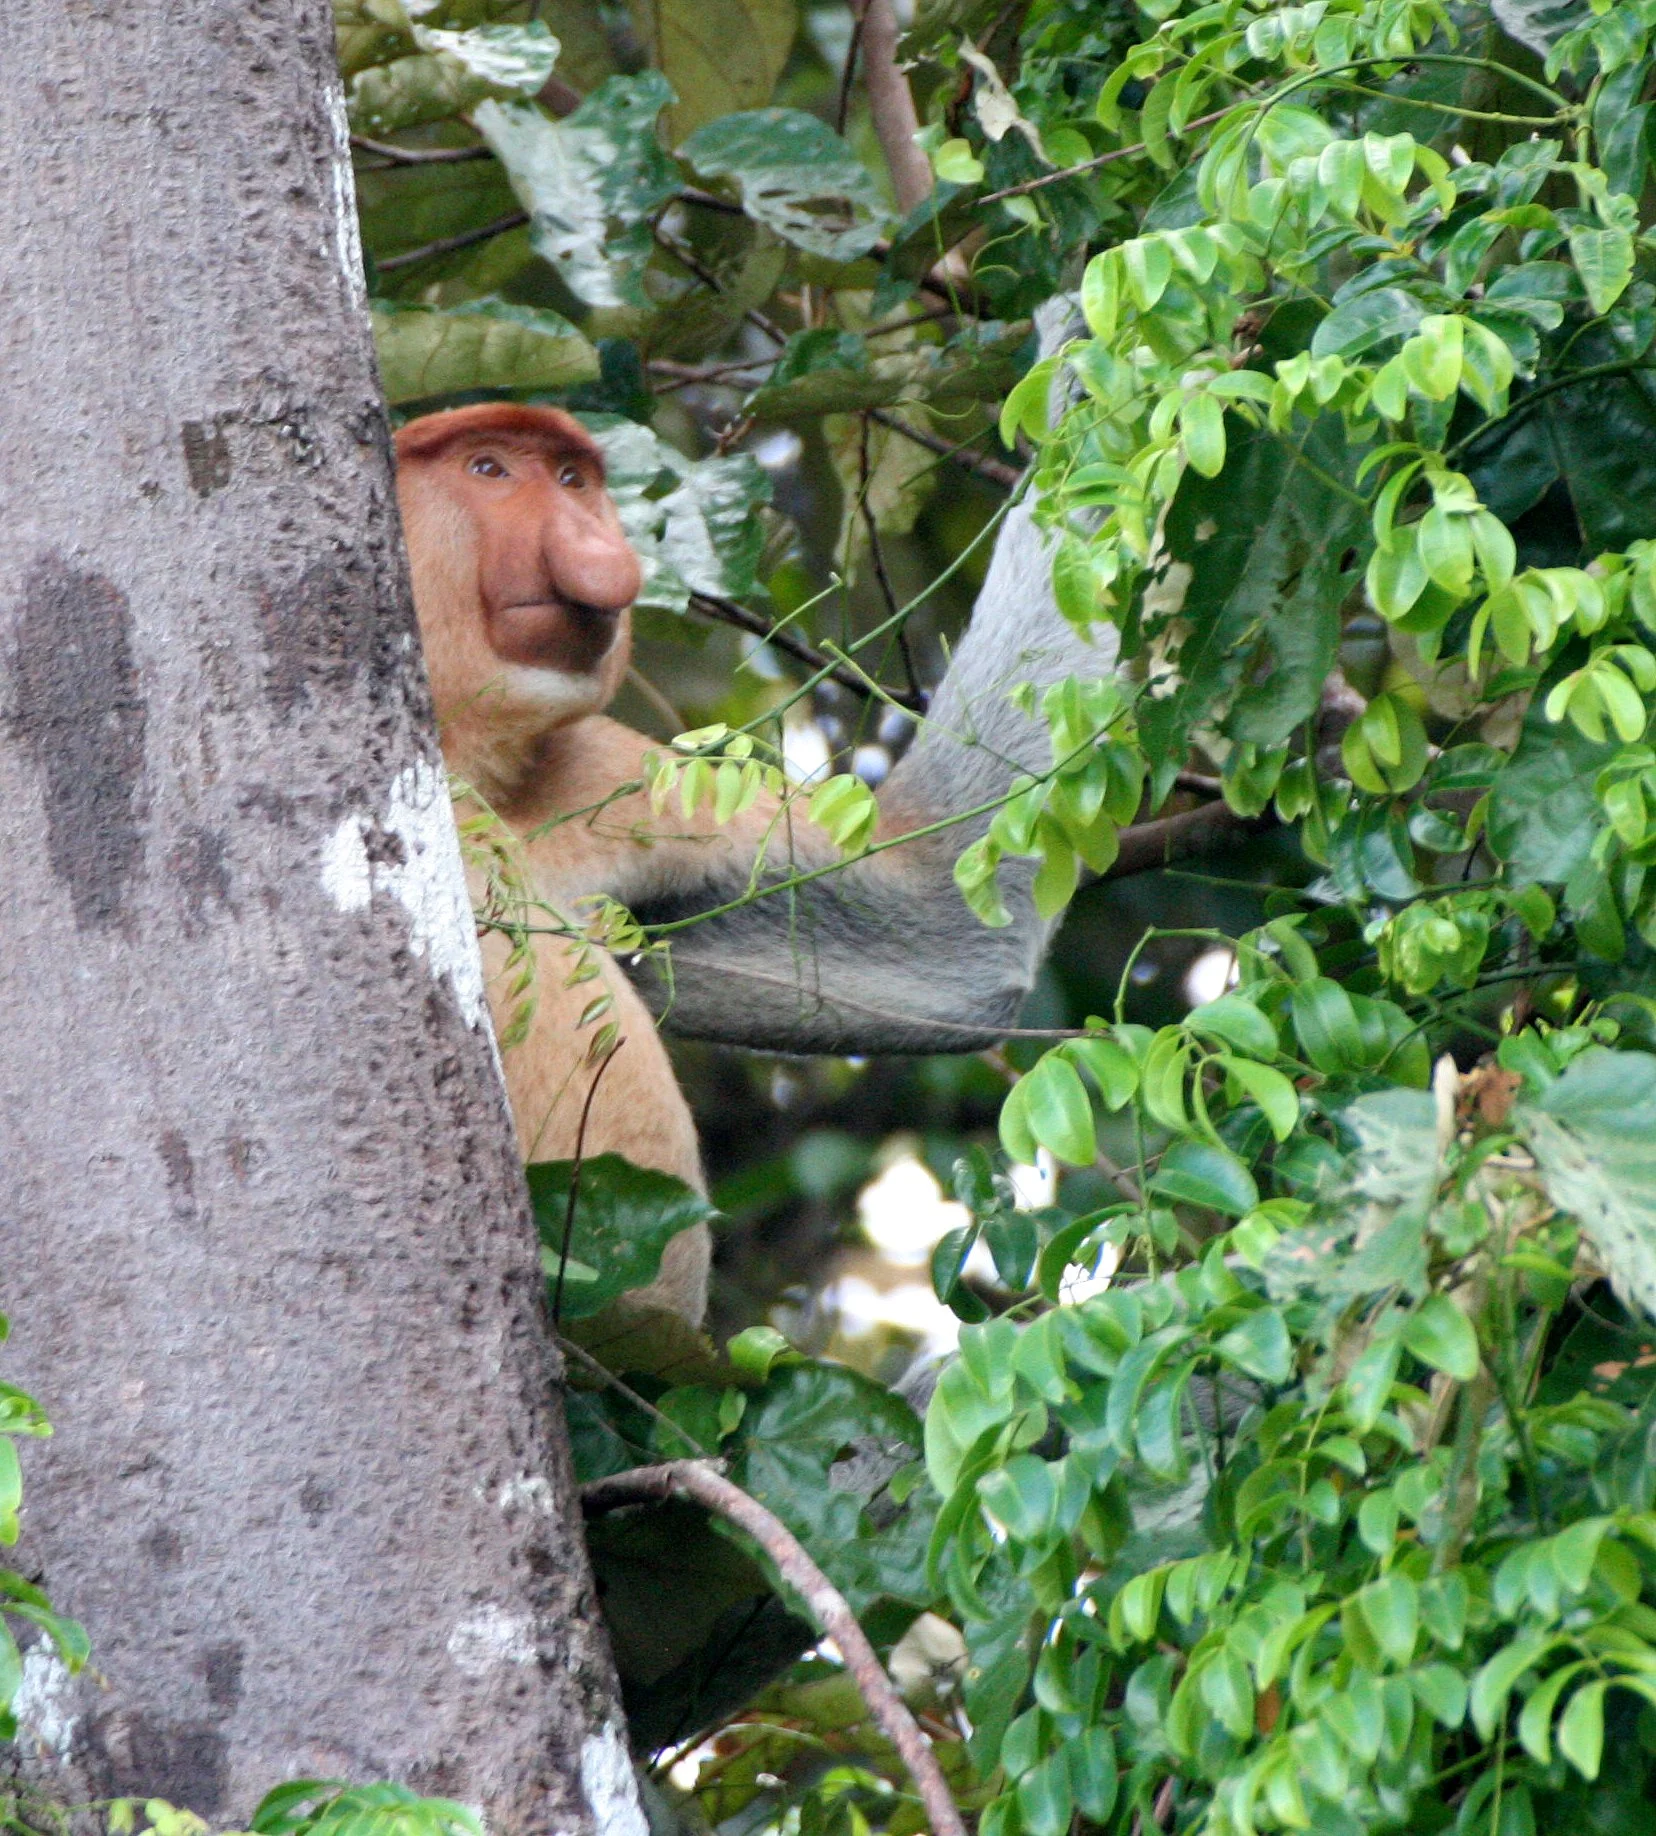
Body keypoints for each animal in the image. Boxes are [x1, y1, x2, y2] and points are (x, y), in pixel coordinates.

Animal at [394, 381, 1108, 1325]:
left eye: (572, 479)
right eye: (488, 470)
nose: (596, 548)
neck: (470, 760)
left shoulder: (603, 773)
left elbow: (954, 938)